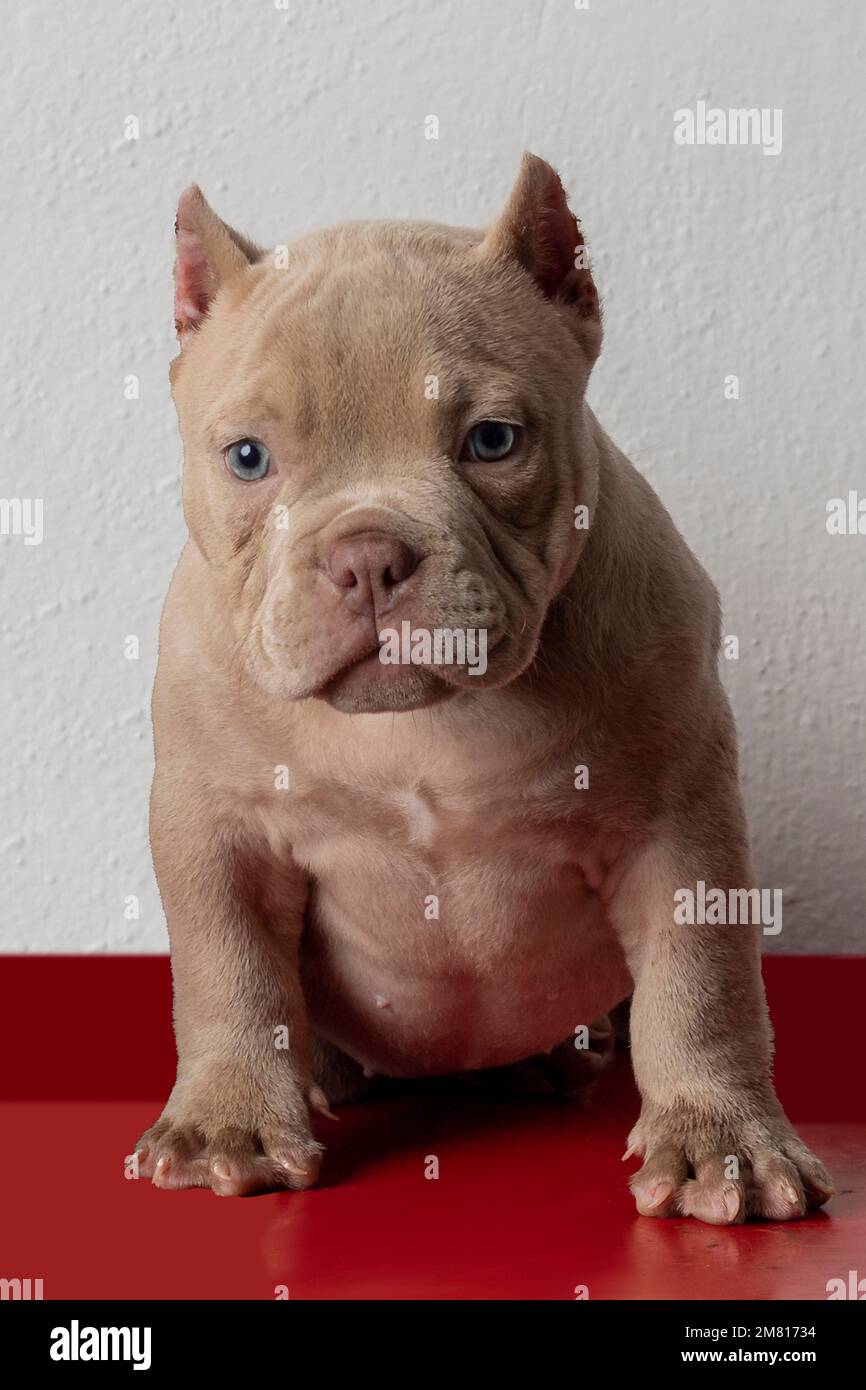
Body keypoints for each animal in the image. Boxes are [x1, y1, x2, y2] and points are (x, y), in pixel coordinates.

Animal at [135, 154, 834, 1228]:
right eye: (248, 457)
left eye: (493, 441)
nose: (366, 556)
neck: (424, 724)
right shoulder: (216, 830)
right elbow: (229, 974)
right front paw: (229, 1121)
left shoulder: (679, 824)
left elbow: (702, 985)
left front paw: (724, 1140)